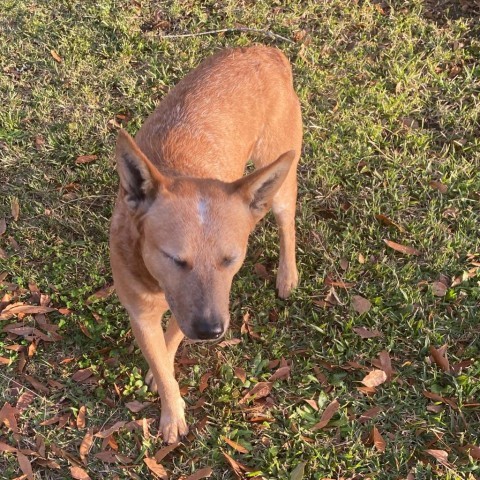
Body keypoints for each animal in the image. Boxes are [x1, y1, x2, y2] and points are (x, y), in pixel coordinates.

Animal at [110, 45, 302, 442]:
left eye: (231, 259)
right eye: (174, 258)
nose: (211, 331)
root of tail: (266, 51)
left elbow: (170, 342)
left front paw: (167, 393)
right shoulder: (143, 313)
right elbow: (162, 358)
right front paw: (170, 403)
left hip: (278, 180)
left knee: (286, 223)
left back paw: (287, 275)